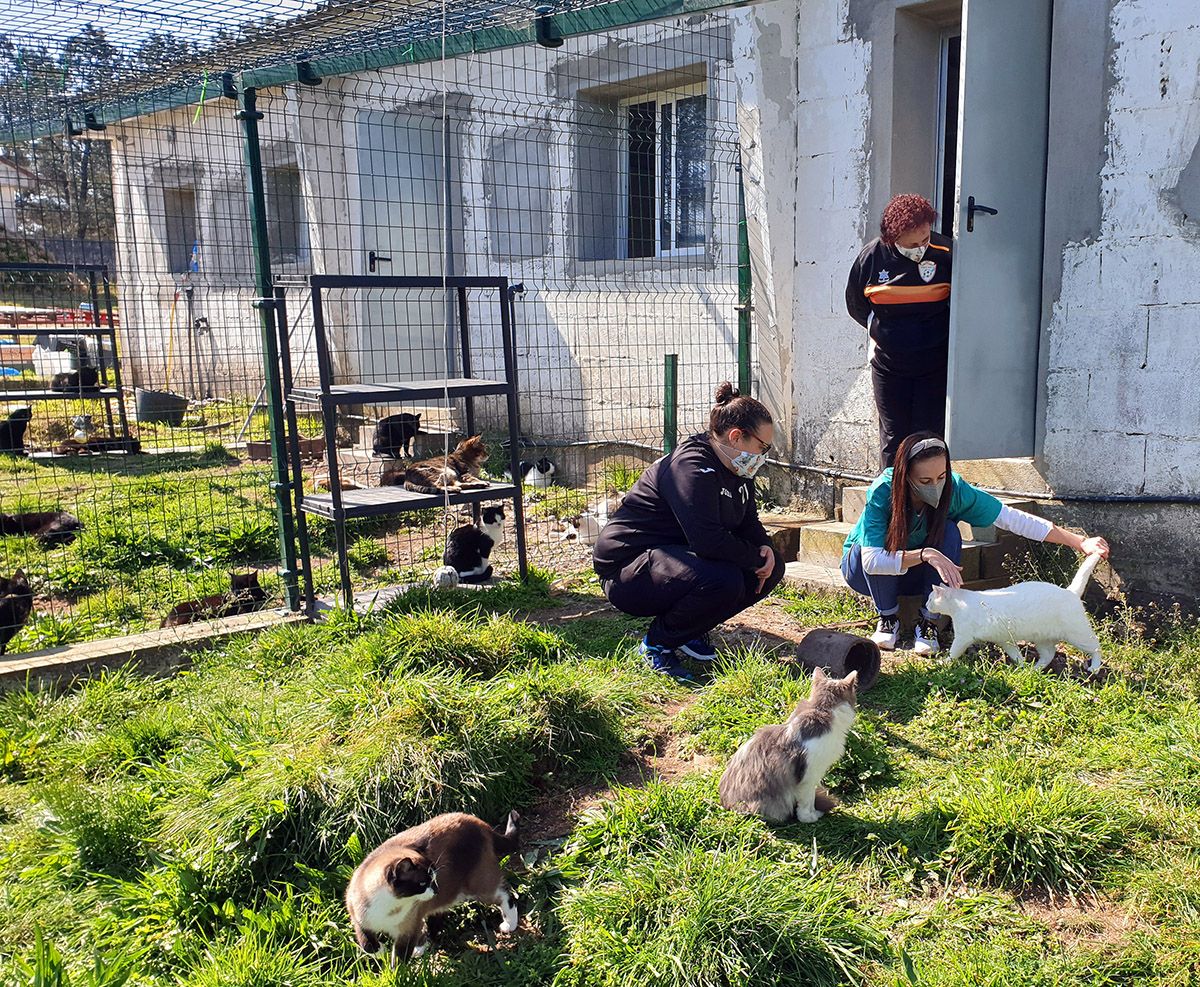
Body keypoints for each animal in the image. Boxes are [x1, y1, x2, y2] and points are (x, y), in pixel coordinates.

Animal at [926, 552, 1104, 677]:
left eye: (930, 598)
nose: (926, 605)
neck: (959, 603)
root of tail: (1069, 591)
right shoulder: (1004, 640)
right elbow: (1016, 655)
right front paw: (1023, 666)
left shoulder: (962, 638)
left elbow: (953, 652)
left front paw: (944, 662)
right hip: (1043, 639)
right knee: (1048, 655)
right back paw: (1034, 669)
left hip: (1078, 635)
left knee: (1096, 647)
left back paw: (1094, 668)